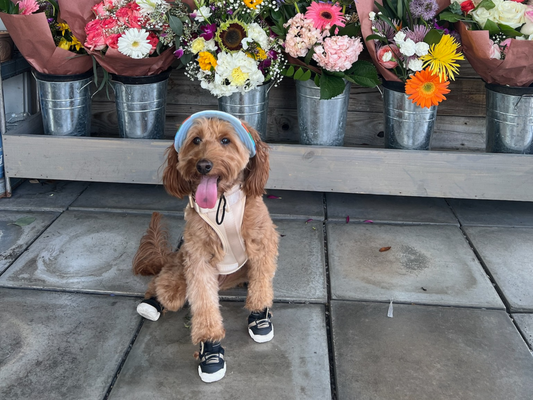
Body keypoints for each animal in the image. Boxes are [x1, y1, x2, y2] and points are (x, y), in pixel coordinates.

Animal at [131, 111, 278, 382]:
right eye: (196, 140)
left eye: (225, 140)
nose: (203, 165)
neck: (222, 201)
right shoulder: (198, 257)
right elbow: (203, 301)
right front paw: (210, 346)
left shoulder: (263, 243)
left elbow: (261, 283)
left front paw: (259, 314)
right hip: (178, 268)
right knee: (162, 286)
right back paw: (152, 303)